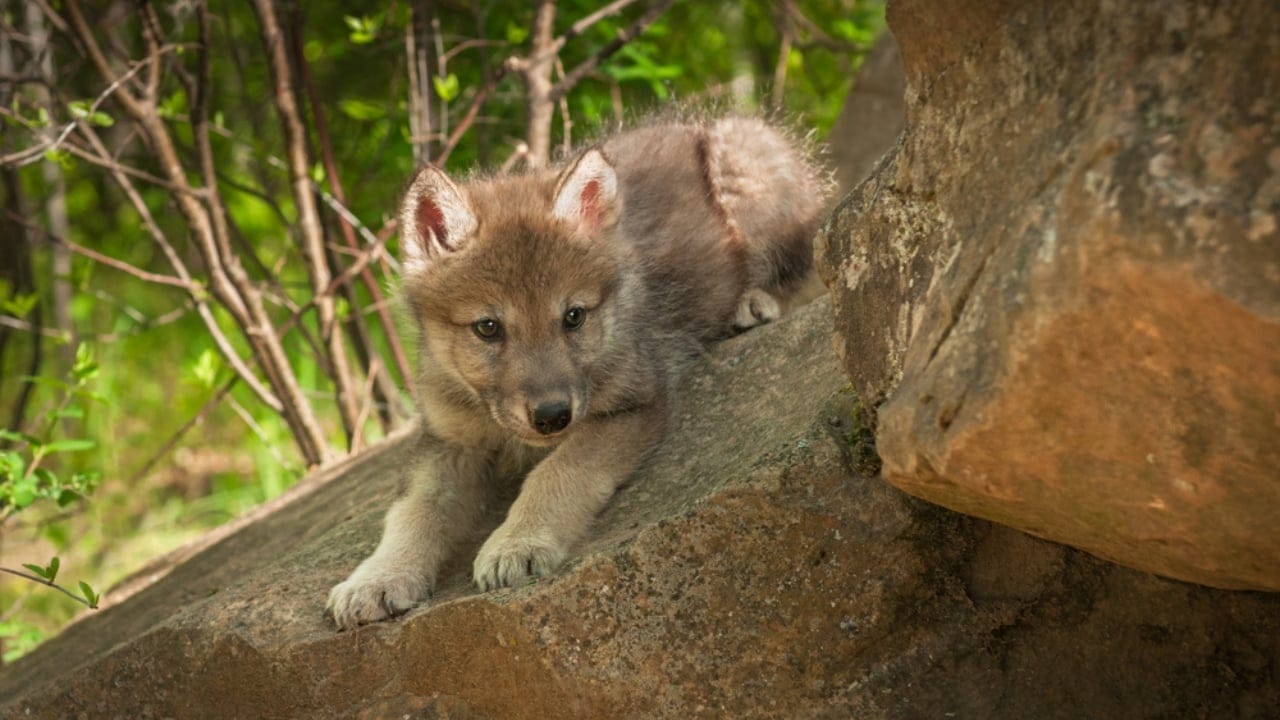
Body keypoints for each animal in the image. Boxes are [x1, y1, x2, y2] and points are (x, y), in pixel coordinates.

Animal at [326, 116, 828, 629]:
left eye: (573, 317)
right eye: (488, 327)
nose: (552, 416)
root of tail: (700, 122)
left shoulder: (632, 405)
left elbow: (558, 472)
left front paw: (518, 542)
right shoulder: (447, 443)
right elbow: (412, 510)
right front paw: (378, 576)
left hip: (746, 174)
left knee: (810, 266)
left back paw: (753, 302)